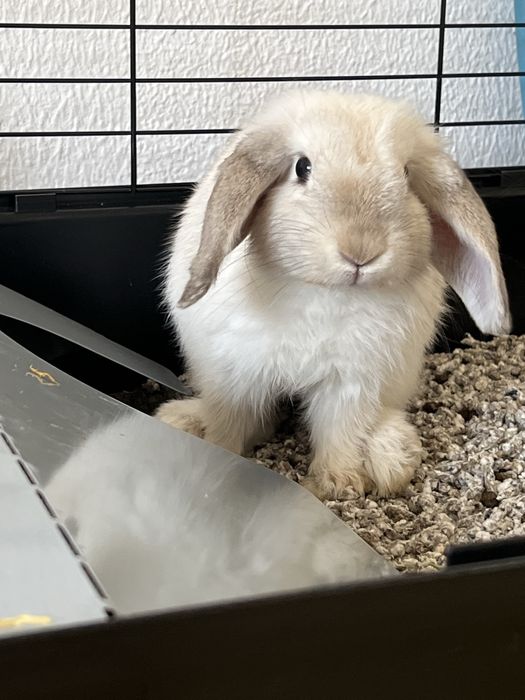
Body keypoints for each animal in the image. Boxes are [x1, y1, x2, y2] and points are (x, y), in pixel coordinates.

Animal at [156, 90, 511, 500]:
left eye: (407, 175)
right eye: (302, 167)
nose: (362, 251)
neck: (326, 293)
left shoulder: (351, 384)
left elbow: (340, 432)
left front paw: (337, 485)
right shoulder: (238, 375)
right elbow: (231, 420)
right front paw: (220, 455)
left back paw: (392, 455)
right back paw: (183, 420)